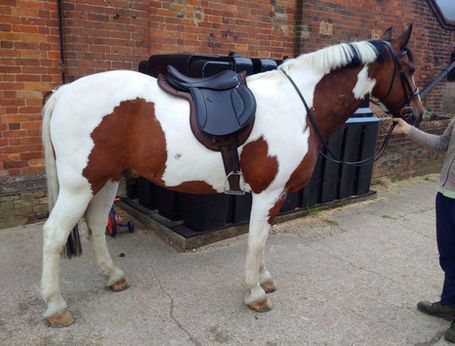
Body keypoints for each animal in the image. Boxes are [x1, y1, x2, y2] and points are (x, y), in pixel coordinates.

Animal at [41, 25, 426, 326]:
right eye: (408, 67)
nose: (418, 113)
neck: (297, 105)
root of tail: (65, 92)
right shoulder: (268, 192)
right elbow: (256, 240)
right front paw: (255, 293)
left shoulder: (278, 194)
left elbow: (265, 237)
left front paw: (264, 279)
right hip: (79, 186)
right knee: (54, 234)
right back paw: (56, 306)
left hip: (107, 180)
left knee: (95, 225)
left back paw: (113, 276)